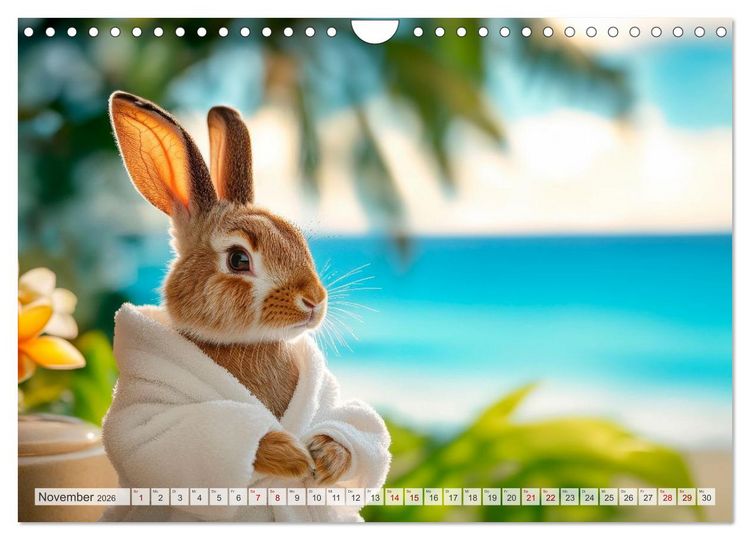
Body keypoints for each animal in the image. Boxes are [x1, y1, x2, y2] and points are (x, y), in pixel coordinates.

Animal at [108, 91, 350, 486]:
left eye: (298, 241)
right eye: (239, 260)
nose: (314, 300)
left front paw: (327, 458)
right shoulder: (157, 425)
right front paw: (291, 456)